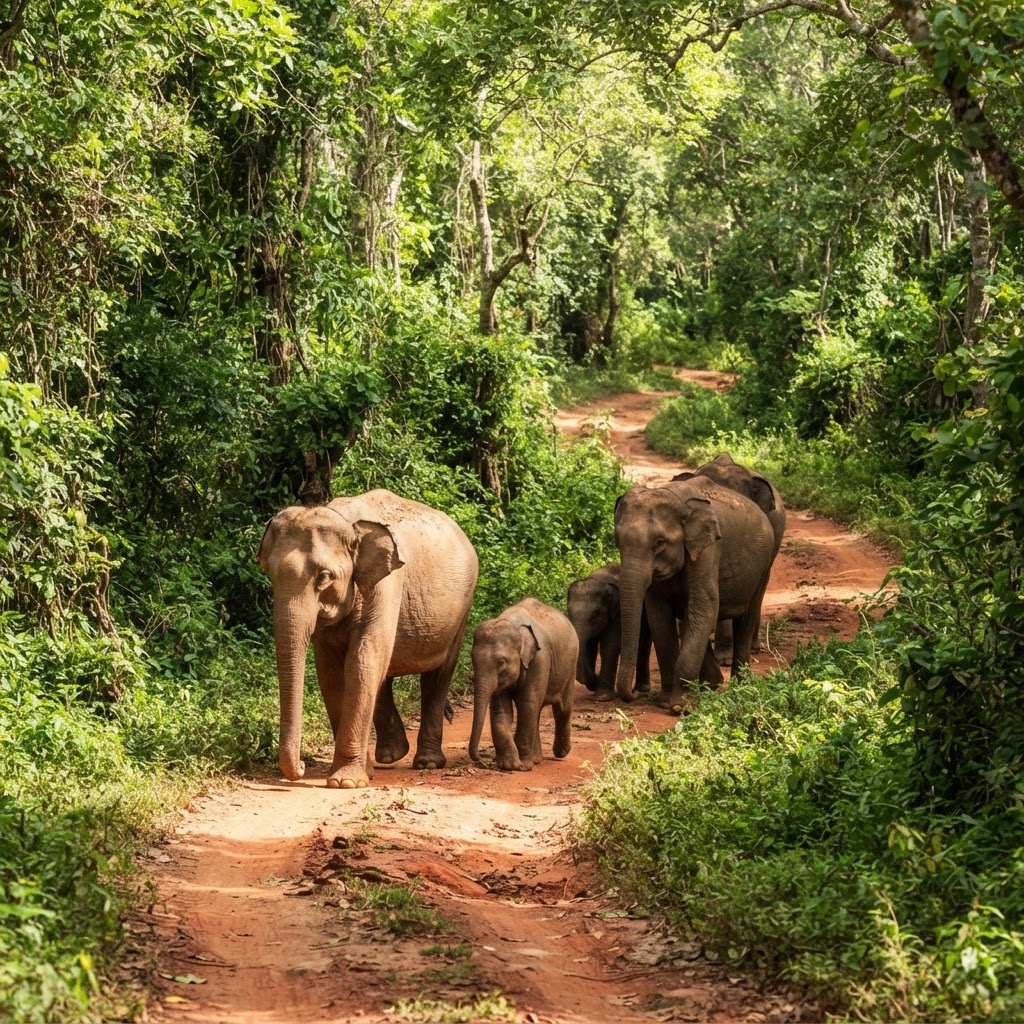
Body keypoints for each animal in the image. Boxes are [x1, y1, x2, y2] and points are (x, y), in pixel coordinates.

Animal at [256, 489, 479, 789]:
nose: (301, 766)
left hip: (461, 610)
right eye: (269, 574)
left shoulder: (387, 585)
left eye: (324, 577)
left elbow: (361, 663)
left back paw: (427, 763)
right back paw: (389, 757)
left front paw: (346, 782)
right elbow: (331, 674)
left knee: (437, 675)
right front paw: (362, 773)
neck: (346, 522)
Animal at [468, 597, 577, 772]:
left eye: (501, 662)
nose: (480, 758)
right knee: (538, 711)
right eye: (472, 659)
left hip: (571, 665)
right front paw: (509, 765)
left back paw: (561, 752)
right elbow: (501, 710)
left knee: (562, 708)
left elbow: (527, 704)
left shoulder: (540, 659)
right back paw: (537, 759)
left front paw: (523, 766)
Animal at [567, 563, 651, 701]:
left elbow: (610, 645)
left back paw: (641, 690)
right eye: (568, 612)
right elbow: (590, 647)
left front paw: (602, 697)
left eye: (595, 615)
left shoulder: (619, 613)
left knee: (644, 643)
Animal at [613, 477, 776, 714]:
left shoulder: (709, 550)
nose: (636, 693)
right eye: (617, 541)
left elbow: (706, 604)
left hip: (763, 566)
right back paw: (712, 685)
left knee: (745, 618)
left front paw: (679, 707)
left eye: (660, 543)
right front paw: (664, 702)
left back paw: (739, 688)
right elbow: (659, 617)